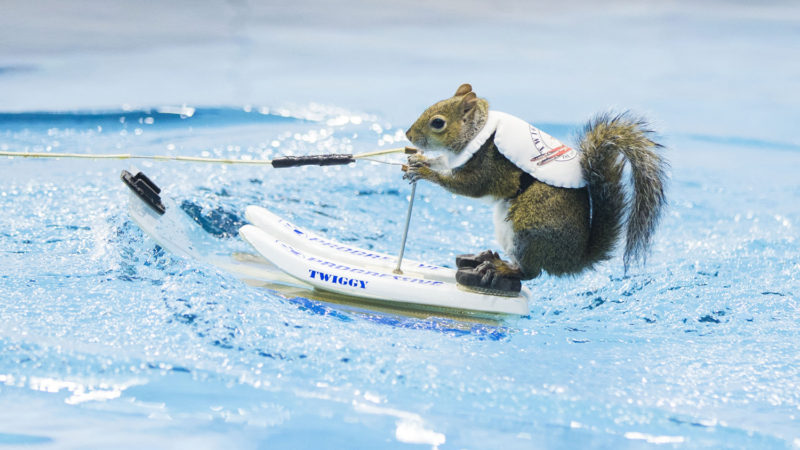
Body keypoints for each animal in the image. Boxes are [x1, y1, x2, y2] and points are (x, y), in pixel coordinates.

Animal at [404, 83, 664, 296]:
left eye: (438, 122)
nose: (408, 134)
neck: (480, 132)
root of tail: (571, 261)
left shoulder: (491, 166)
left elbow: (469, 185)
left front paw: (426, 172)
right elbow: (443, 163)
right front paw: (420, 161)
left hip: (529, 226)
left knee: (530, 272)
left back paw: (499, 267)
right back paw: (488, 257)